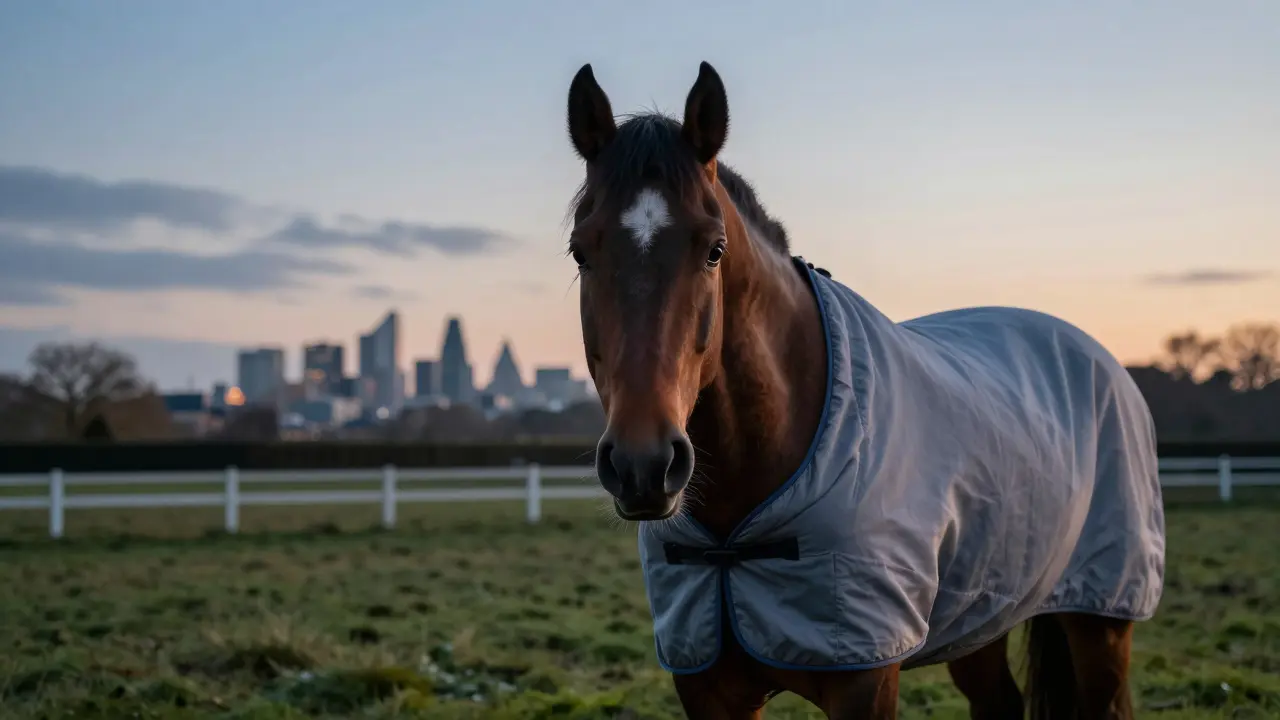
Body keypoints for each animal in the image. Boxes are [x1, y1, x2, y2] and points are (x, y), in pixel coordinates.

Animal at [562, 61, 1165, 719]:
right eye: (580, 251)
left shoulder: (867, 679)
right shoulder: (707, 688)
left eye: (714, 250)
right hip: (981, 614)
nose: (643, 464)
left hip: (1100, 621)